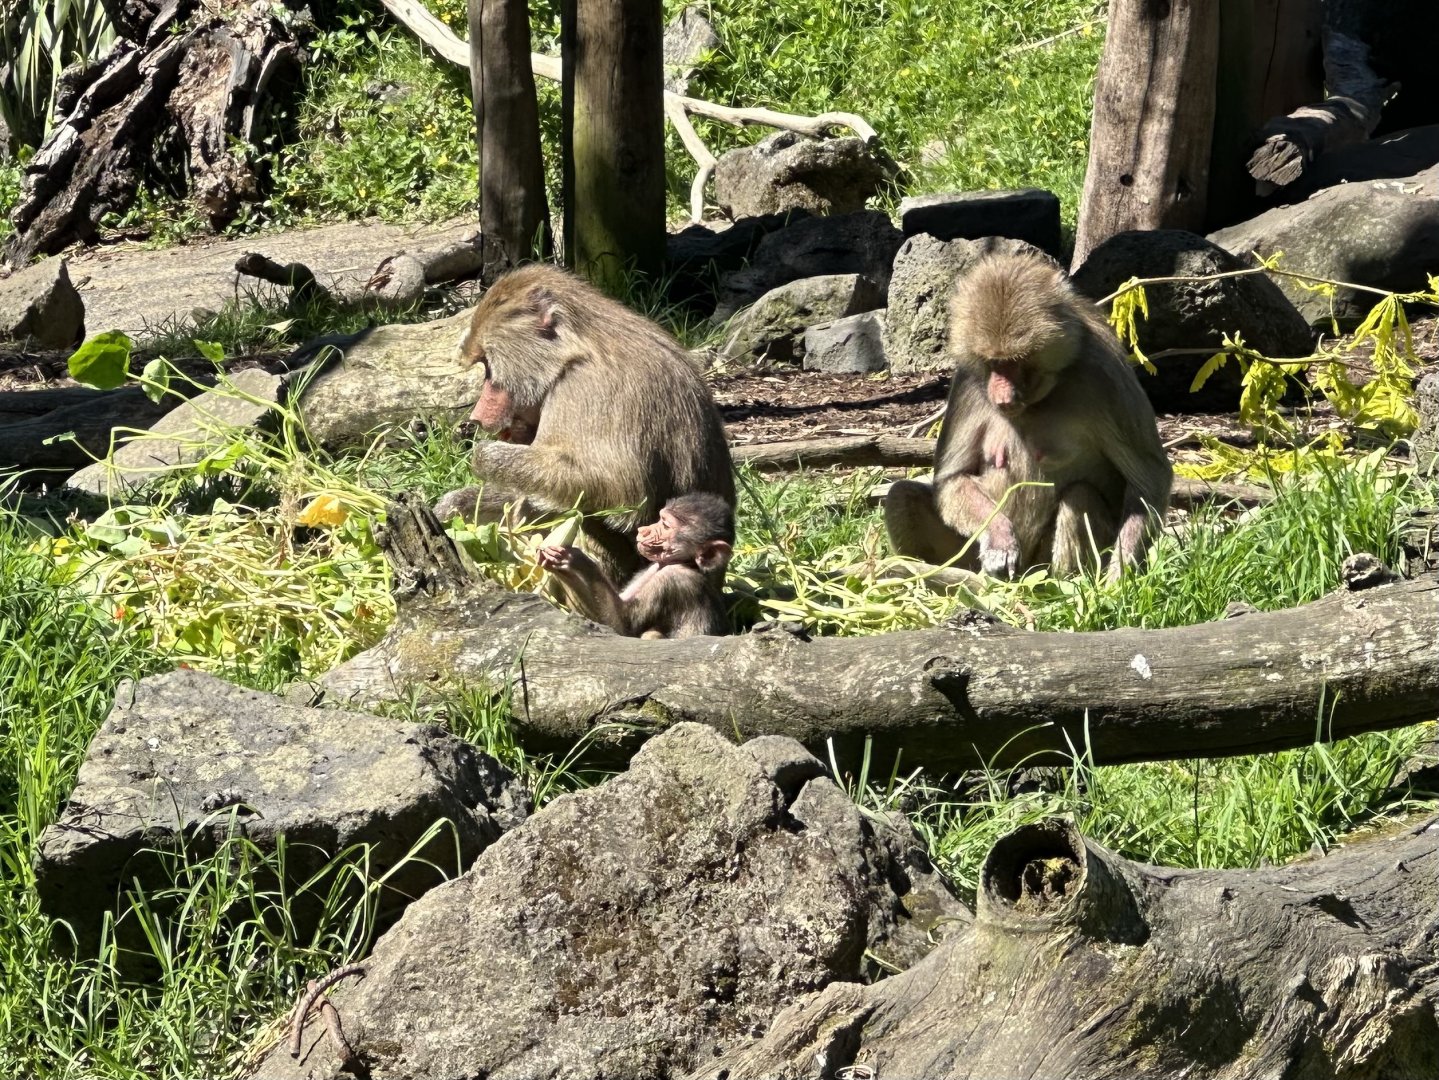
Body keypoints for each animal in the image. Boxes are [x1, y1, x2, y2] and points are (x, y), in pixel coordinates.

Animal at [432, 263, 736, 583]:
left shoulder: (585, 390)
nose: (477, 415)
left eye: (489, 368)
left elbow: (624, 491)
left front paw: (483, 456)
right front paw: (454, 506)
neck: (572, 354)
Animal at [537, 492, 734, 639]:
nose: (644, 530)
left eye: (666, 526)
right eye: (660, 519)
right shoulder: (650, 569)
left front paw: (574, 562)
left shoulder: (673, 580)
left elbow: (623, 626)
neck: (685, 562)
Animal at [885, 253, 1173, 580]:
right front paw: (1000, 537)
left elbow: (1149, 479)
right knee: (901, 495)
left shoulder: (1105, 377)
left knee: (1080, 495)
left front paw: (1120, 575)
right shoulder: (968, 382)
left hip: (1040, 564)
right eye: (993, 363)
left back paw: (1063, 585)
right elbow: (952, 480)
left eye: (1016, 362)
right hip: (969, 556)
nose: (1001, 396)